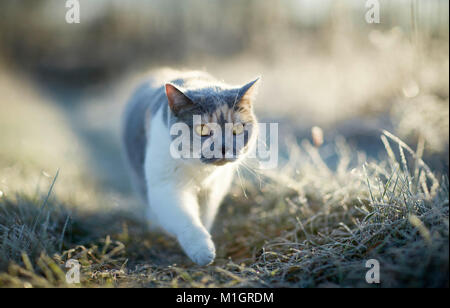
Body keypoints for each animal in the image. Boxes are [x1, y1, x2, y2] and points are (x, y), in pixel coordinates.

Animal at [122, 69, 260, 264]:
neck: (201, 171)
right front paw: (203, 251)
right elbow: (186, 219)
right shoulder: (166, 186)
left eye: (238, 129)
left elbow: (206, 214)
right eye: (202, 130)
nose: (224, 147)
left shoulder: (215, 187)